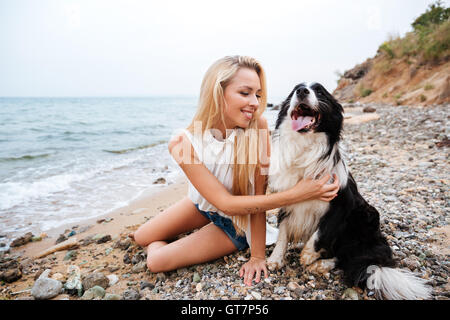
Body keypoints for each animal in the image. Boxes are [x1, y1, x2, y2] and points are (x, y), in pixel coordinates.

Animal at [268, 82, 432, 300]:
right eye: (295, 89)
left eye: (320, 91)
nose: (302, 92)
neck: (305, 147)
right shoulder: (287, 199)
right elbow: (284, 233)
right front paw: (275, 259)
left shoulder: (342, 205)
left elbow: (321, 232)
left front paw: (308, 255)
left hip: (365, 216)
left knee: (349, 257)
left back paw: (321, 264)